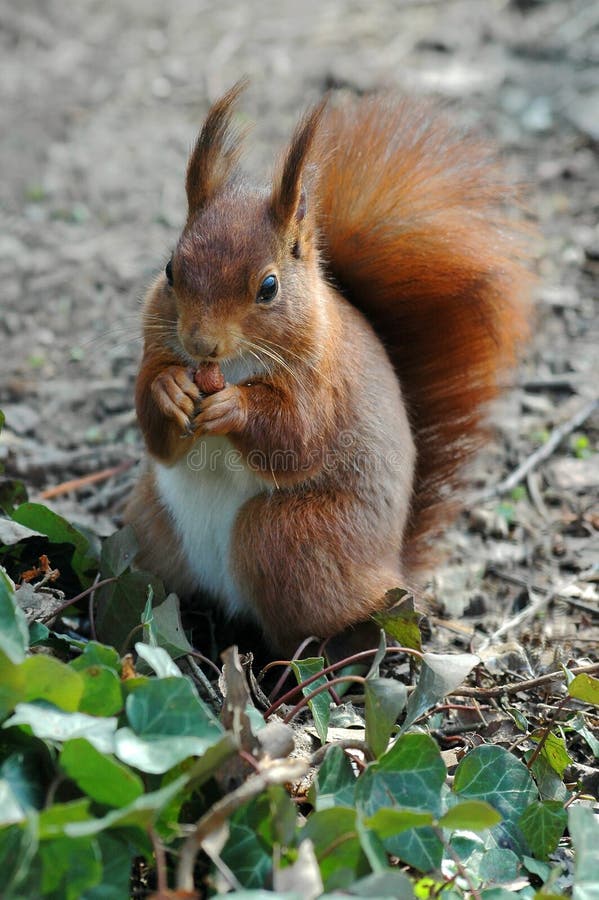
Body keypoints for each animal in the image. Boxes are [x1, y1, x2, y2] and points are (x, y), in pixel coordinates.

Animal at [124, 82, 532, 652]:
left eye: (268, 286)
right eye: (169, 270)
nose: (200, 343)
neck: (236, 366)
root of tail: (391, 568)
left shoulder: (324, 383)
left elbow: (297, 437)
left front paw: (233, 407)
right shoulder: (157, 348)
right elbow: (155, 429)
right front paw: (169, 390)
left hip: (290, 538)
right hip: (152, 523)